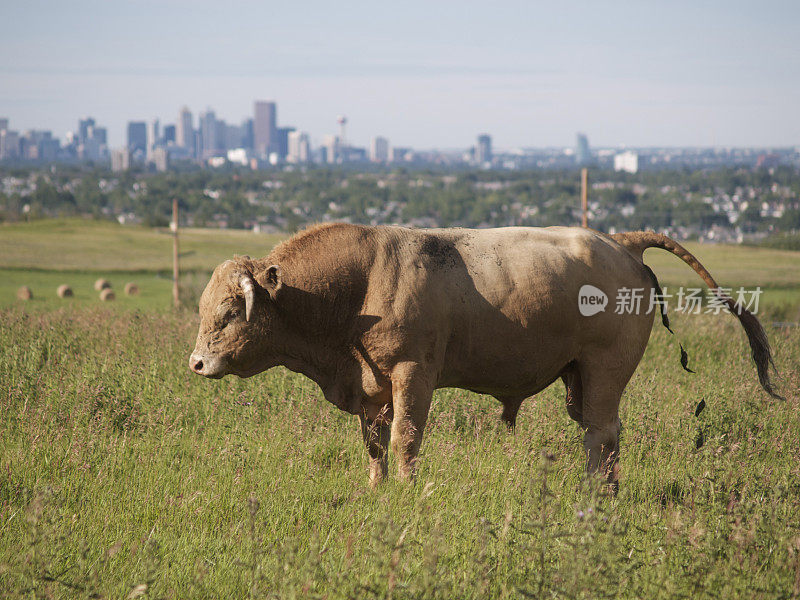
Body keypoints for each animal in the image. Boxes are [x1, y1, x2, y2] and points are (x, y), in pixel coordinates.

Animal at [189, 223, 780, 490]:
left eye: (229, 311)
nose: (195, 364)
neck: (360, 286)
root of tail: (620, 242)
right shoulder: (370, 387)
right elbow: (375, 445)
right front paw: (378, 489)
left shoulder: (414, 375)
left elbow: (405, 439)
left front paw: (406, 492)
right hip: (578, 379)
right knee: (596, 431)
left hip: (604, 372)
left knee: (603, 434)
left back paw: (597, 496)